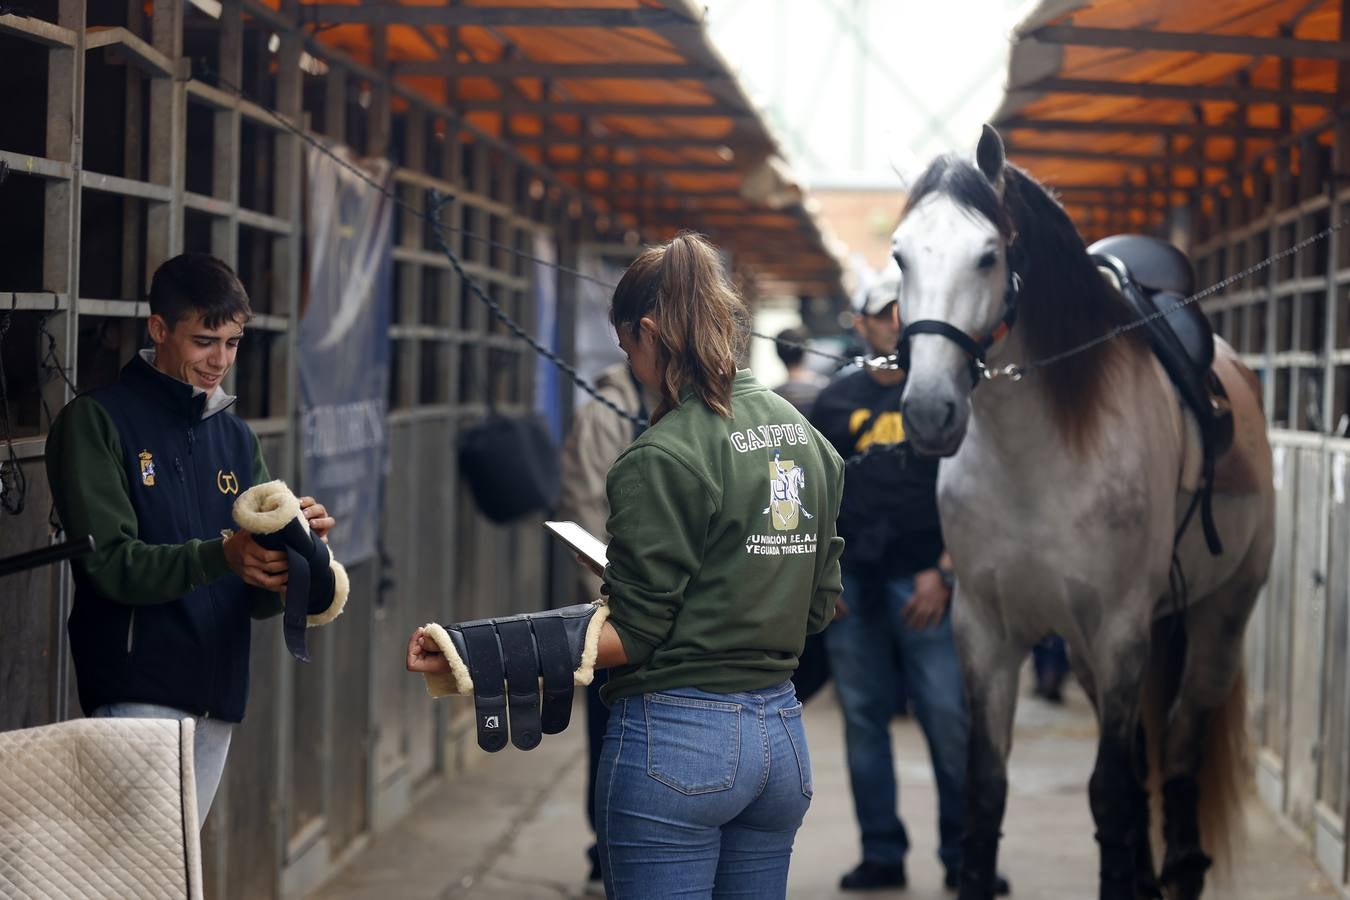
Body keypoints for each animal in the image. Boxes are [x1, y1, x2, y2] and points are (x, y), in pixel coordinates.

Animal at [890, 125, 1274, 900]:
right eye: (900, 255)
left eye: (989, 255)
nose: (929, 412)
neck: (1035, 458)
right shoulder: (986, 630)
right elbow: (987, 790)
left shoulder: (1120, 629)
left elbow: (1110, 793)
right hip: (1094, 654)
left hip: (1219, 619)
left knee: (1179, 745)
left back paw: (1180, 867)